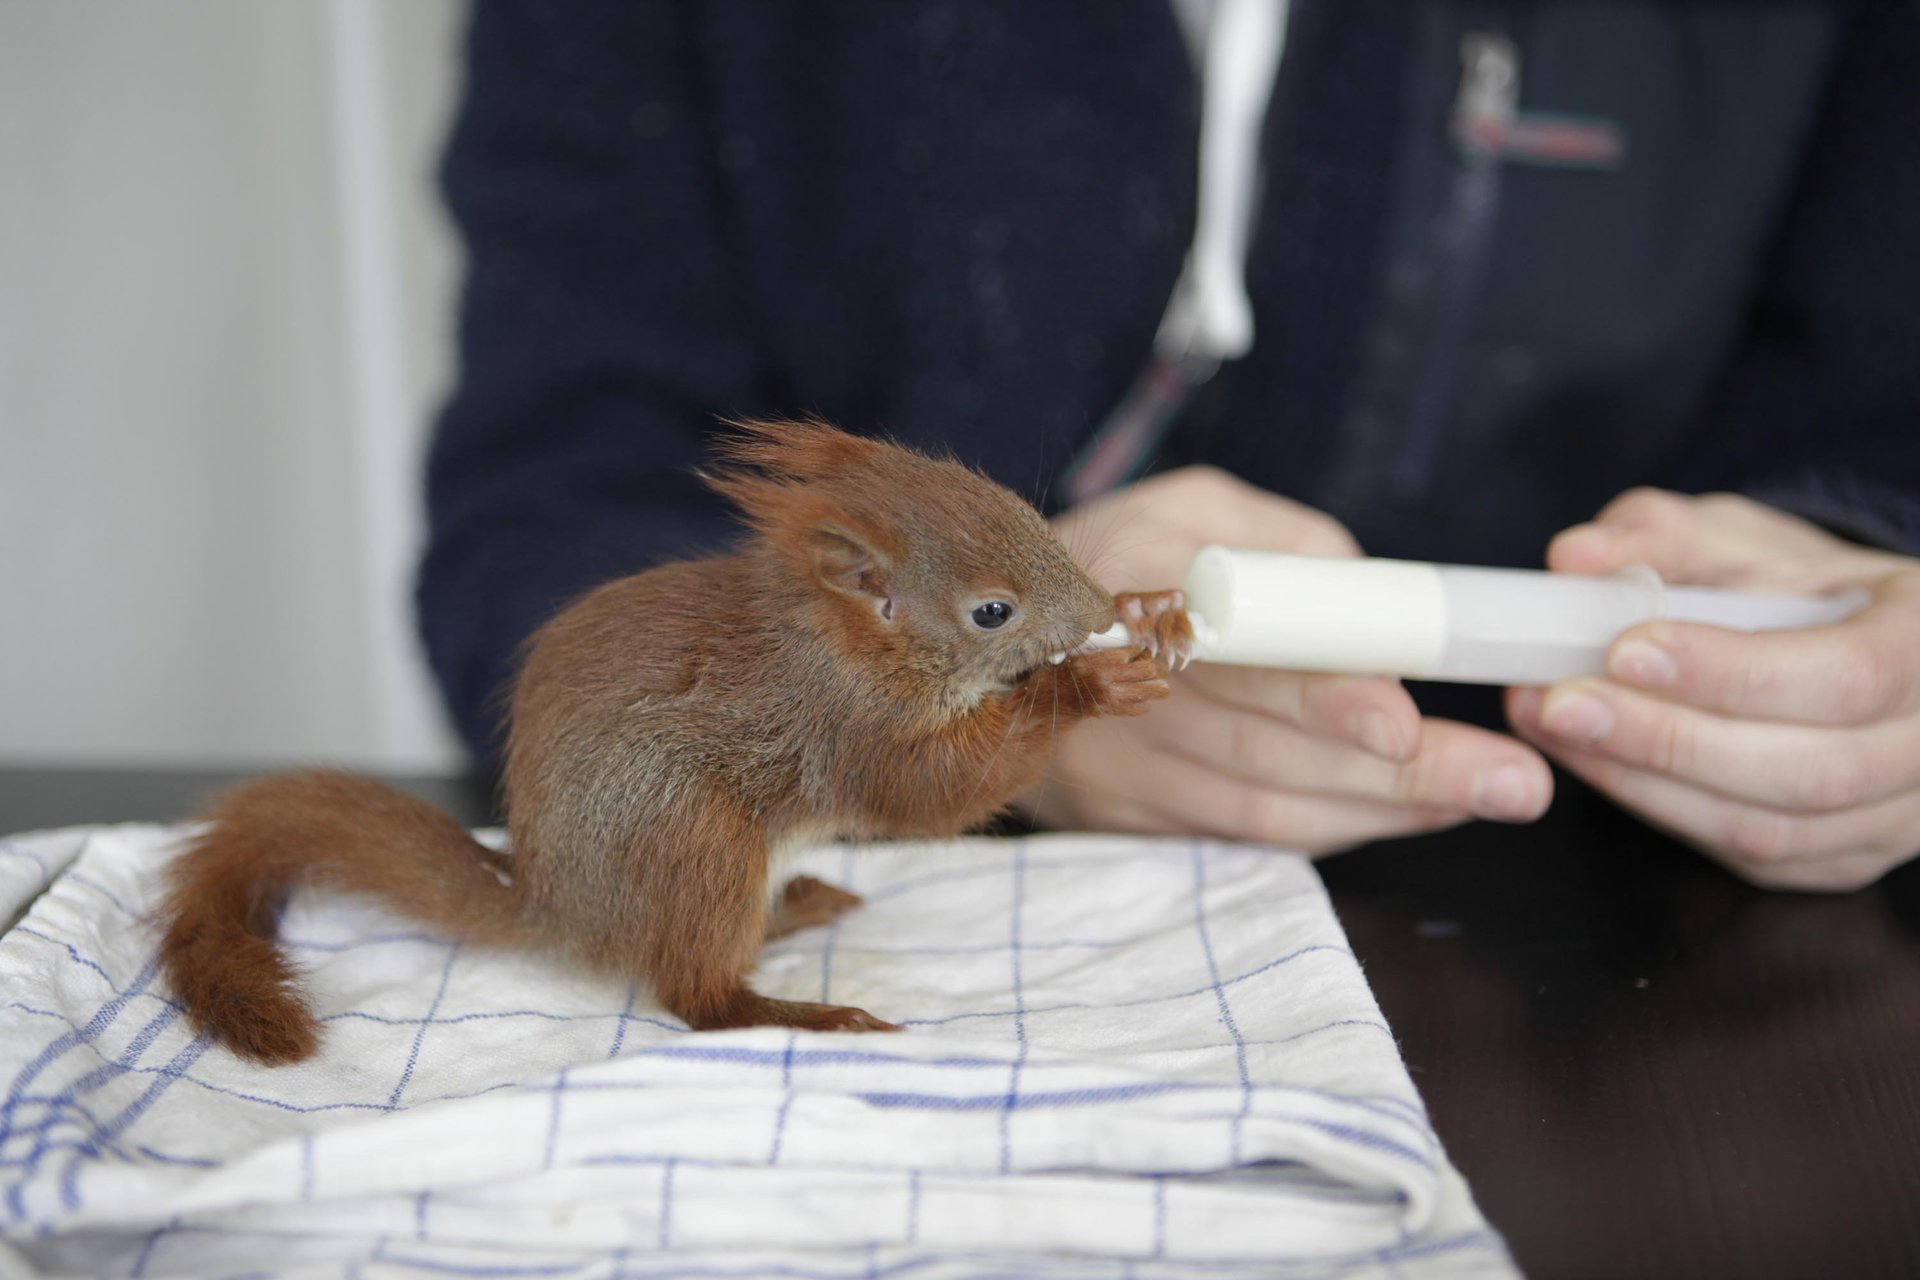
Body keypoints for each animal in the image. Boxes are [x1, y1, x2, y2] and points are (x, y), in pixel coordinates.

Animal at [157, 420, 1194, 1064]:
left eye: (1024, 512)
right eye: (991, 613)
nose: (1094, 612)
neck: (839, 641)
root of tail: (567, 912)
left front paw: (1154, 611)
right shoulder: (843, 724)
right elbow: (932, 790)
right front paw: (1089, 683)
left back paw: (800, 910)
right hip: (696, 840)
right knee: (698, 997)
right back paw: (808, 1015)